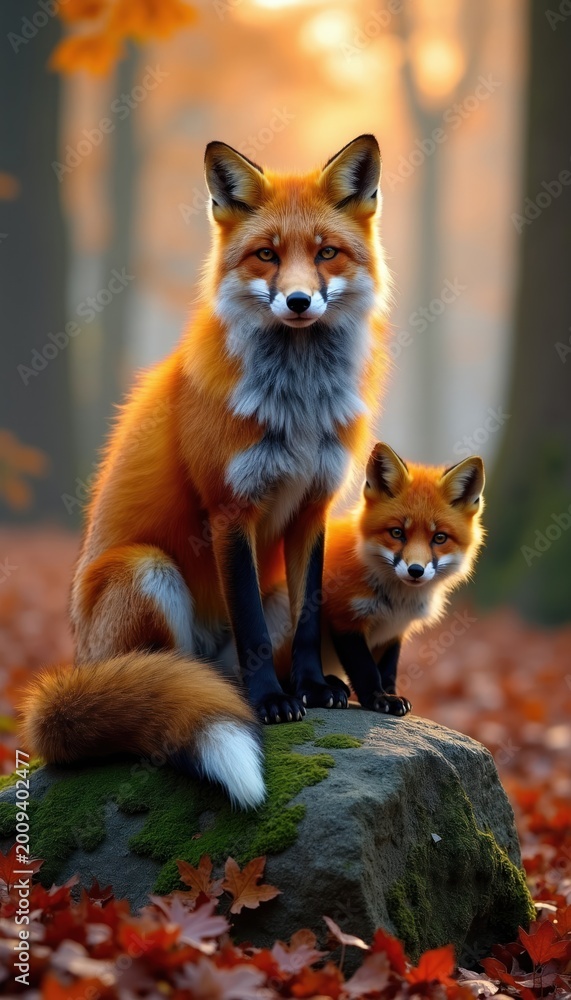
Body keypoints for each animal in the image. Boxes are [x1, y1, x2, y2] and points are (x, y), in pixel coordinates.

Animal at [20, 135, 391, 809]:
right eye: (267, 255)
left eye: (326, 253)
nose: (299, 301)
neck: (298, 409)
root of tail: (81, 660)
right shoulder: (230, 508)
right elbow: (246, 618)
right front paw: (272, 703)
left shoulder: (313, 507)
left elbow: (308, 618)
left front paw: (310, 688)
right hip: (146, 571)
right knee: (167, 680)